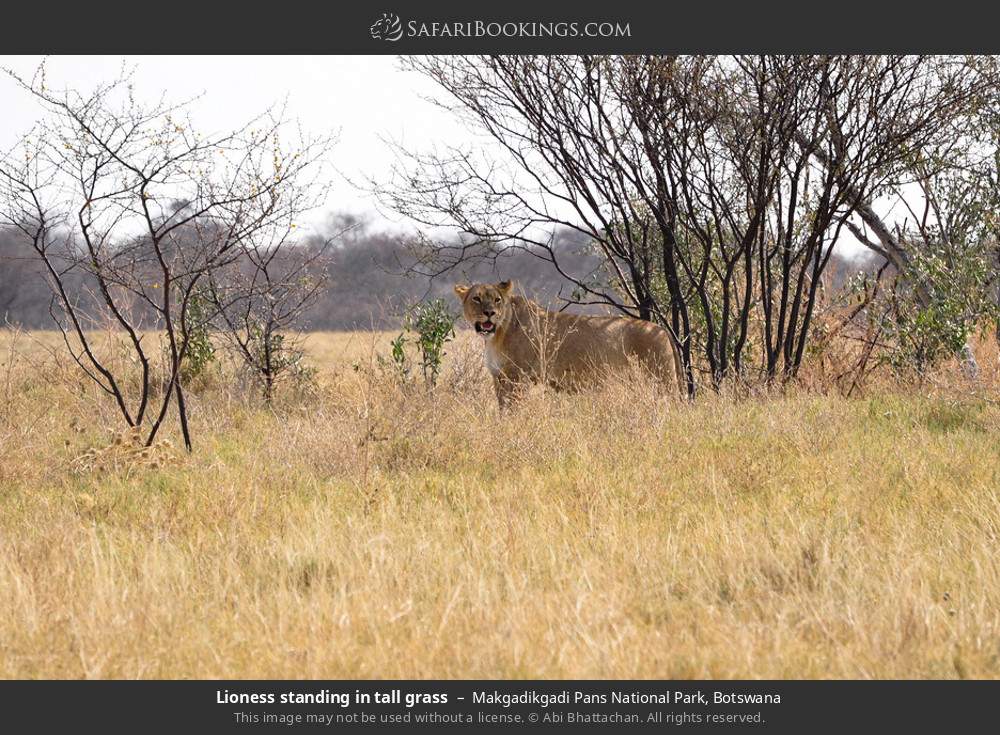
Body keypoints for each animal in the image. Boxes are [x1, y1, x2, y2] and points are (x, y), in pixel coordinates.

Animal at [454, 280, 686, 406]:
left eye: (497, 300)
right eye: (476, 298)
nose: (490, 313)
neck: (496, 335)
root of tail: (663, 330)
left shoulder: (518, 377)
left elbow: (514, 409)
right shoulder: (499, 378)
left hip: (661, 378)